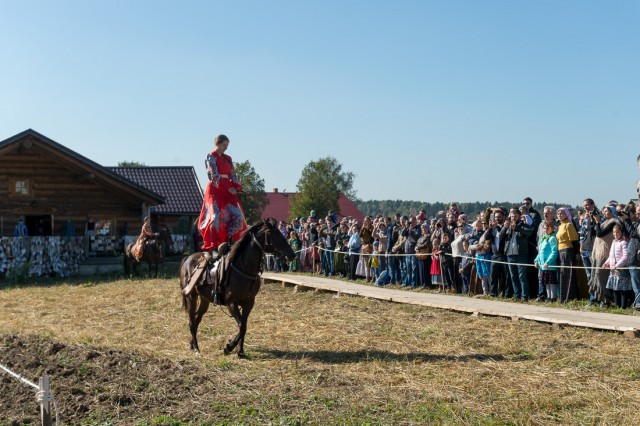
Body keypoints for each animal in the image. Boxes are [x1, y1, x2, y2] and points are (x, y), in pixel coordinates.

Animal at [180, 220, 296, 356]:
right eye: (275, 234)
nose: (292, 255)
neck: (243, 267)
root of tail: (187, 259)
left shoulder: (249, 303)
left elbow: (244, 326)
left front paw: (240, 351)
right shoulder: (231, 303)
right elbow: (241, 325)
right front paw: (229, 347)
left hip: (205, 299)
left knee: (197, 319)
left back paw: (192, 345)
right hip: (191, 296)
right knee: (192, 322)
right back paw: (197, 349)